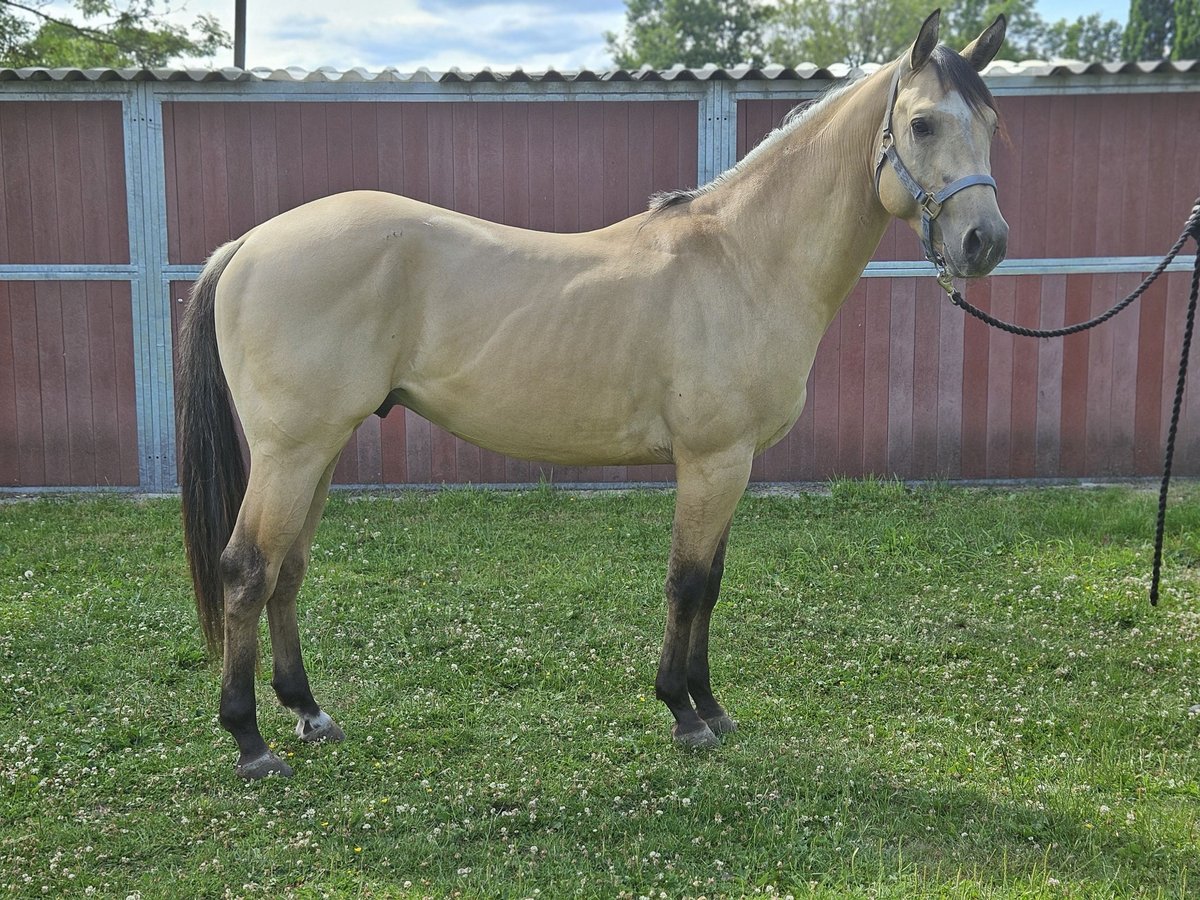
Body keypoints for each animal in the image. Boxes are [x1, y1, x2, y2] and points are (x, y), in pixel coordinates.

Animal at [177, 10, 1009, 779]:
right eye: (923, 122)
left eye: (992, 123)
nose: (986, 242)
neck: (742, 261)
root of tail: (247, 246)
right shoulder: (711, 463)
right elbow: (686, 583)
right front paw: (683, 713)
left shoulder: (733, 465)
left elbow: (711, 586)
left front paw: (711, 705)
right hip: (290, 452)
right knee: (247, 569)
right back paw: (250, 741)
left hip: (320, 449)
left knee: (287, 569)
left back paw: (309, 713)